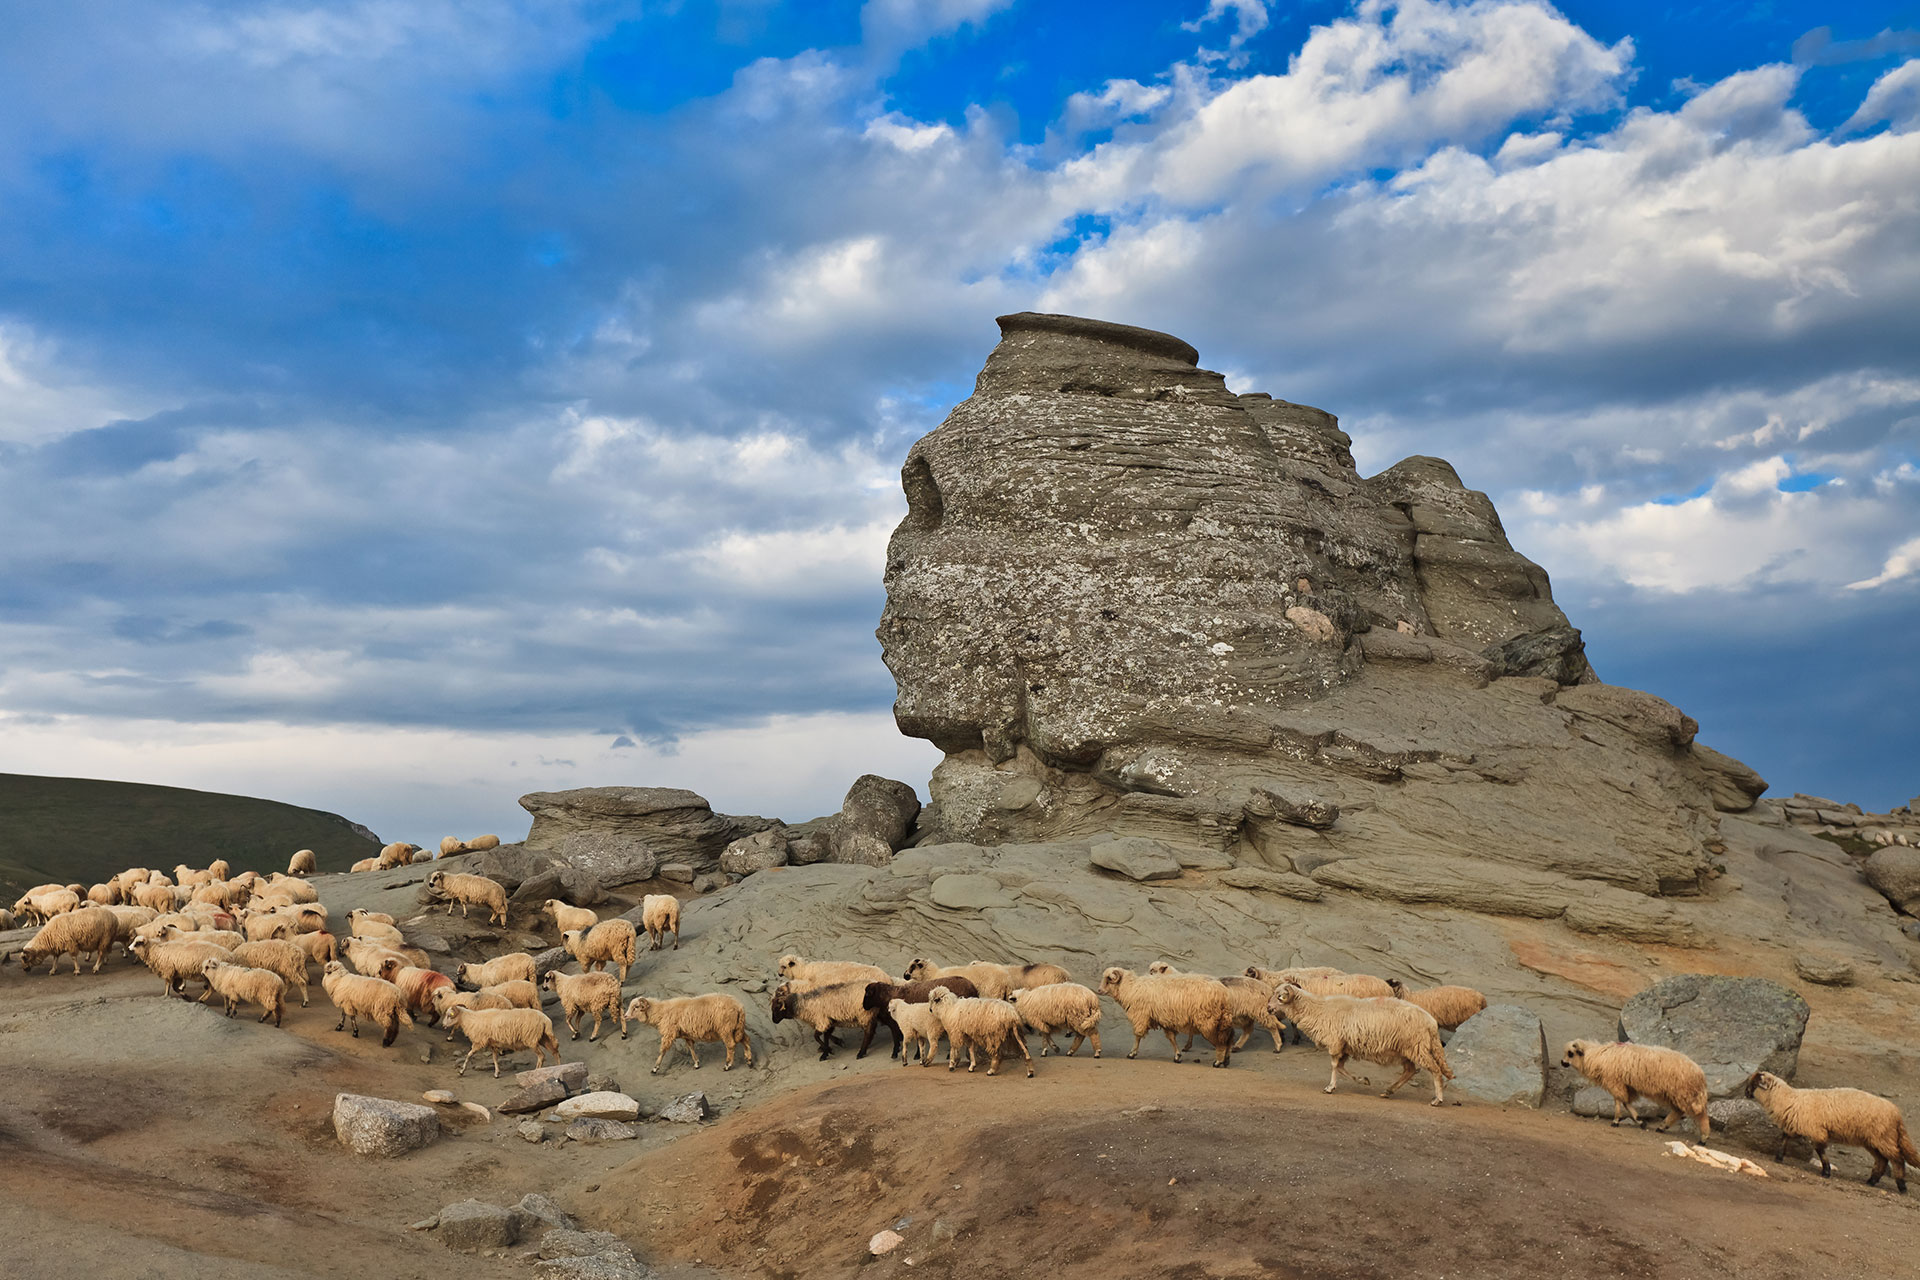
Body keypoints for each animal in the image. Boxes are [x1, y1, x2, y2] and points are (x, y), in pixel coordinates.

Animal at [1105, 967, 1236, 1066]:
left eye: (1108, 979)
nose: (1100, 990)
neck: (1130, 988)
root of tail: (1224, 993)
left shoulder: (1141, 1016)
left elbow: (1138, 1036)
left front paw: (1132, 1053)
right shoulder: (1164, 1019)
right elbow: (1171, 1038)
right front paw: (1177, 1056)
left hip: (1209, 1021)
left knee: (1221, 1042)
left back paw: (1218, 1062)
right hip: (1223, 1020)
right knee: (1229, 1038)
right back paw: (1226, 1060)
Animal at [1144, 967, 1282, 1059]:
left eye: (1152, 971)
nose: (1146, 976)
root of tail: (1268, 990)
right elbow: (1191, 1031)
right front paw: (1187, 1046)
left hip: (1261, 1011)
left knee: (1272, 1027)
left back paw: (1278, 1046)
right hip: (1244, 1014)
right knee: (1248, 1030)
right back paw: (1236, 1046)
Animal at [1274, 990, 1451, 1105]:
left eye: (1279, 997)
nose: (1269, 1008)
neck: (1318, 1008)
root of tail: (1431, 1023)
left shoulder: (1336, 1042)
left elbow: (1334, 1066)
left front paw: (1330, 1087)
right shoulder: (1345, 1046)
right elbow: (1341, 1068)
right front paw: (1363, 1080)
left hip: (1417, 1047)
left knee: (1435, 1070)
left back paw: (1437, 1099)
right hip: (1407, 1050)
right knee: (1410, 1071)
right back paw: (1388, 1091)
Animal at [1559, 1043, 1712, 1143]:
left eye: (1570, 1053)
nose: (1562, 1062)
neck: (1597, 1056)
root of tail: (1700, 1073)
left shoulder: (1615, 1081)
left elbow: (1619, 1101)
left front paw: (1616, 1120)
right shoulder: (1626, 1085)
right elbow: (1625, 1102)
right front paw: (1640, 1120)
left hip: (1686, 1094)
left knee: (1700, 1114)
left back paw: (1703, 1138)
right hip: (1674, 1094)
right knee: (1678, 1111)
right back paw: (1662, 1126)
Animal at [1751, 1074, 1912, 1189]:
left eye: (1752, 1084)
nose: (1746, 1092)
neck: (1788, 1099)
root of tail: (1896, 1113)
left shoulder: (1817, 1131)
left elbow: (1820, 1150)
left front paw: (1826, 1172)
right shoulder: (1796, 1126)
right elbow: (1785, 1138)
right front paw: (1779, 1157)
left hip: (1883, 1137)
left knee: (1898, 1159)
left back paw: (1901, 1185)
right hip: (1873, 1140)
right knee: (1882, 1160)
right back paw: (1872, 1181)